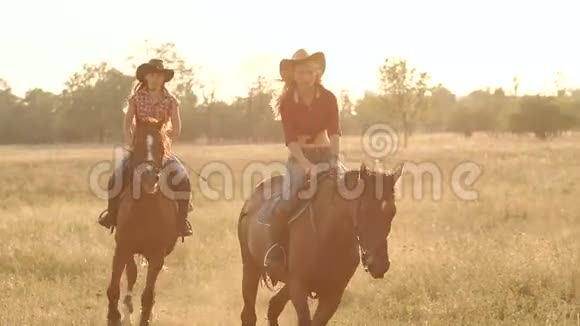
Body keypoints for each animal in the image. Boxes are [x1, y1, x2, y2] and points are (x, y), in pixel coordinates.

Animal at [105, 118, 180, 326]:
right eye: (136, 144)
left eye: (162, 145)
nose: (149, 177)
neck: (145, 210)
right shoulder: (122, 247)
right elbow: (114, 286)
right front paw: (115, 315)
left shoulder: (157, 255)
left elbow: (148, 295)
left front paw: (145, 317)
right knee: (131, 274)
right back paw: (127, 310)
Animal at [236, 163, 404, 326]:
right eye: (366, 210)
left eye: (392, 212)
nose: (380, 265)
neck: (329, 236)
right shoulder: (298, 288)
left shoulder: (333, 294)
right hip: (250, 268)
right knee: (249, 315)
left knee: (274, 306)